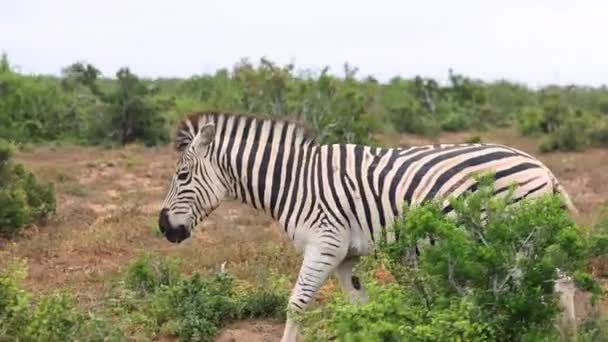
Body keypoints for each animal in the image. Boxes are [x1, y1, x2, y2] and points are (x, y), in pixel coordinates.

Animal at [157, 111, 576, 340]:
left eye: (182, 176)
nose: (164, 228)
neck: (293, 181)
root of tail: (542, 167)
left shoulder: (325, 243)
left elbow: (296, 305)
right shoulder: (346, 256)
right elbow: (359, 307)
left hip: (515, 238)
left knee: (532, 287)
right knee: (561, 282)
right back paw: (566, 333)